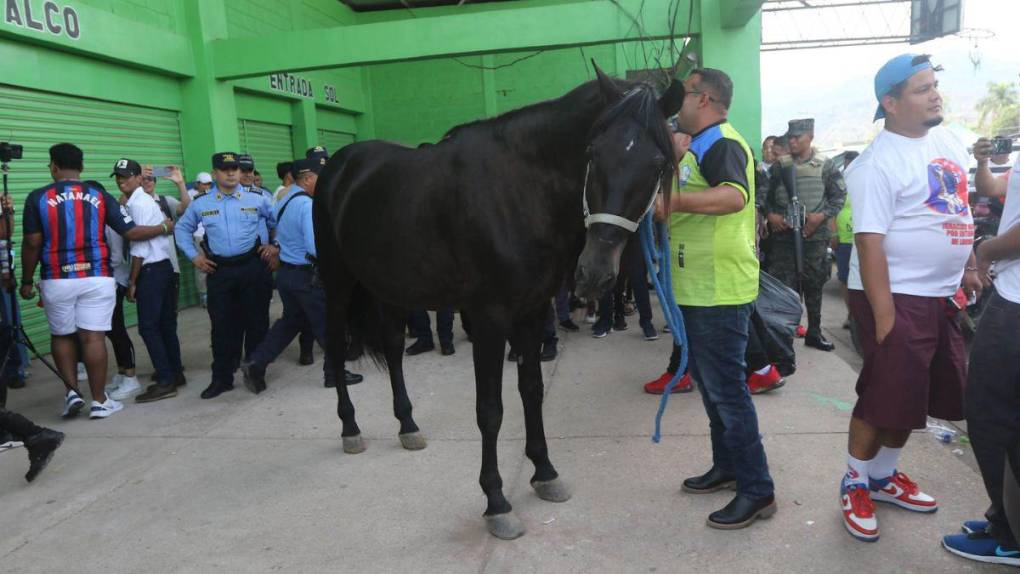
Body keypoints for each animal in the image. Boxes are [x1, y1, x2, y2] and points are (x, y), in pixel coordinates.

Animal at [314, 65, 681, 542]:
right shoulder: (489, 318)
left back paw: (408, 425)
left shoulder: (532, 310)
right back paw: (350, 428)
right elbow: (490, 410)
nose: (595, 271)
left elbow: (532, 390)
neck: (519, 191)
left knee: (393, 347)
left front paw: (544, 472)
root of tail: (340, 166)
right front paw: (497, 502)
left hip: (389, 287)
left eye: (657, 164)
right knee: (337, 349)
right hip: (339, 283)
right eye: (593, 153)